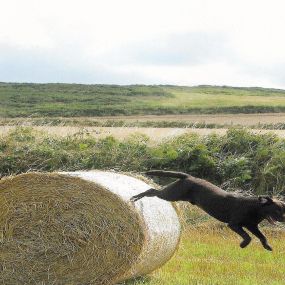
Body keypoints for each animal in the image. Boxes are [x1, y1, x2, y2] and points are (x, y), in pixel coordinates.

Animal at [131, 170, 284, 250]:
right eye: (277, 211)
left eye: (284, 210)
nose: (283, 219)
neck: (255, 208)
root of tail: (188, 176)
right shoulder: (234, 224)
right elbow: (247, 236)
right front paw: (243, 244)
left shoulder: (252, 226)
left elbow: (262, 236)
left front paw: (268, 246)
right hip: (171, 194)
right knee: (152, 190)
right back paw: (136, 196)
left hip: (171, 193)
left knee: (153, 191)